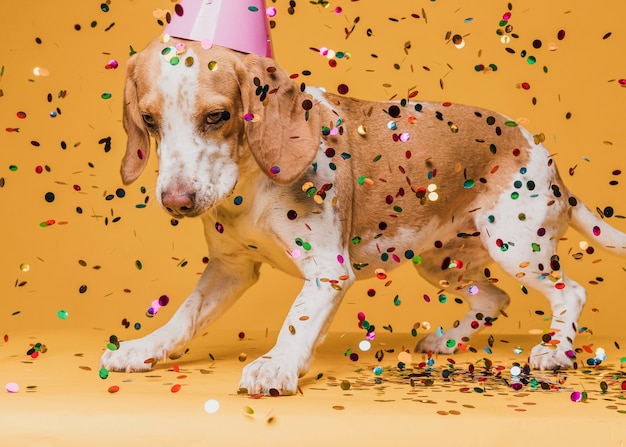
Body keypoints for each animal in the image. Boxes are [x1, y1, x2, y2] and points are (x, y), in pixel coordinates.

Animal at [98, 37, 624, 396]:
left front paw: (277, 364)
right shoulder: (230, 269)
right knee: (494, 299)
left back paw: (557, 349)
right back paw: (448, 341)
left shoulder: (326, 271)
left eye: (216, 116)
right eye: (149, 121)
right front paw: (144, 348)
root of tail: (538, 149)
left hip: (517, 248)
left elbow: (296, 320)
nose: (176, 201)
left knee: (569, 293)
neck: (250, 187)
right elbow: (183, 317)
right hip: (441, 265)